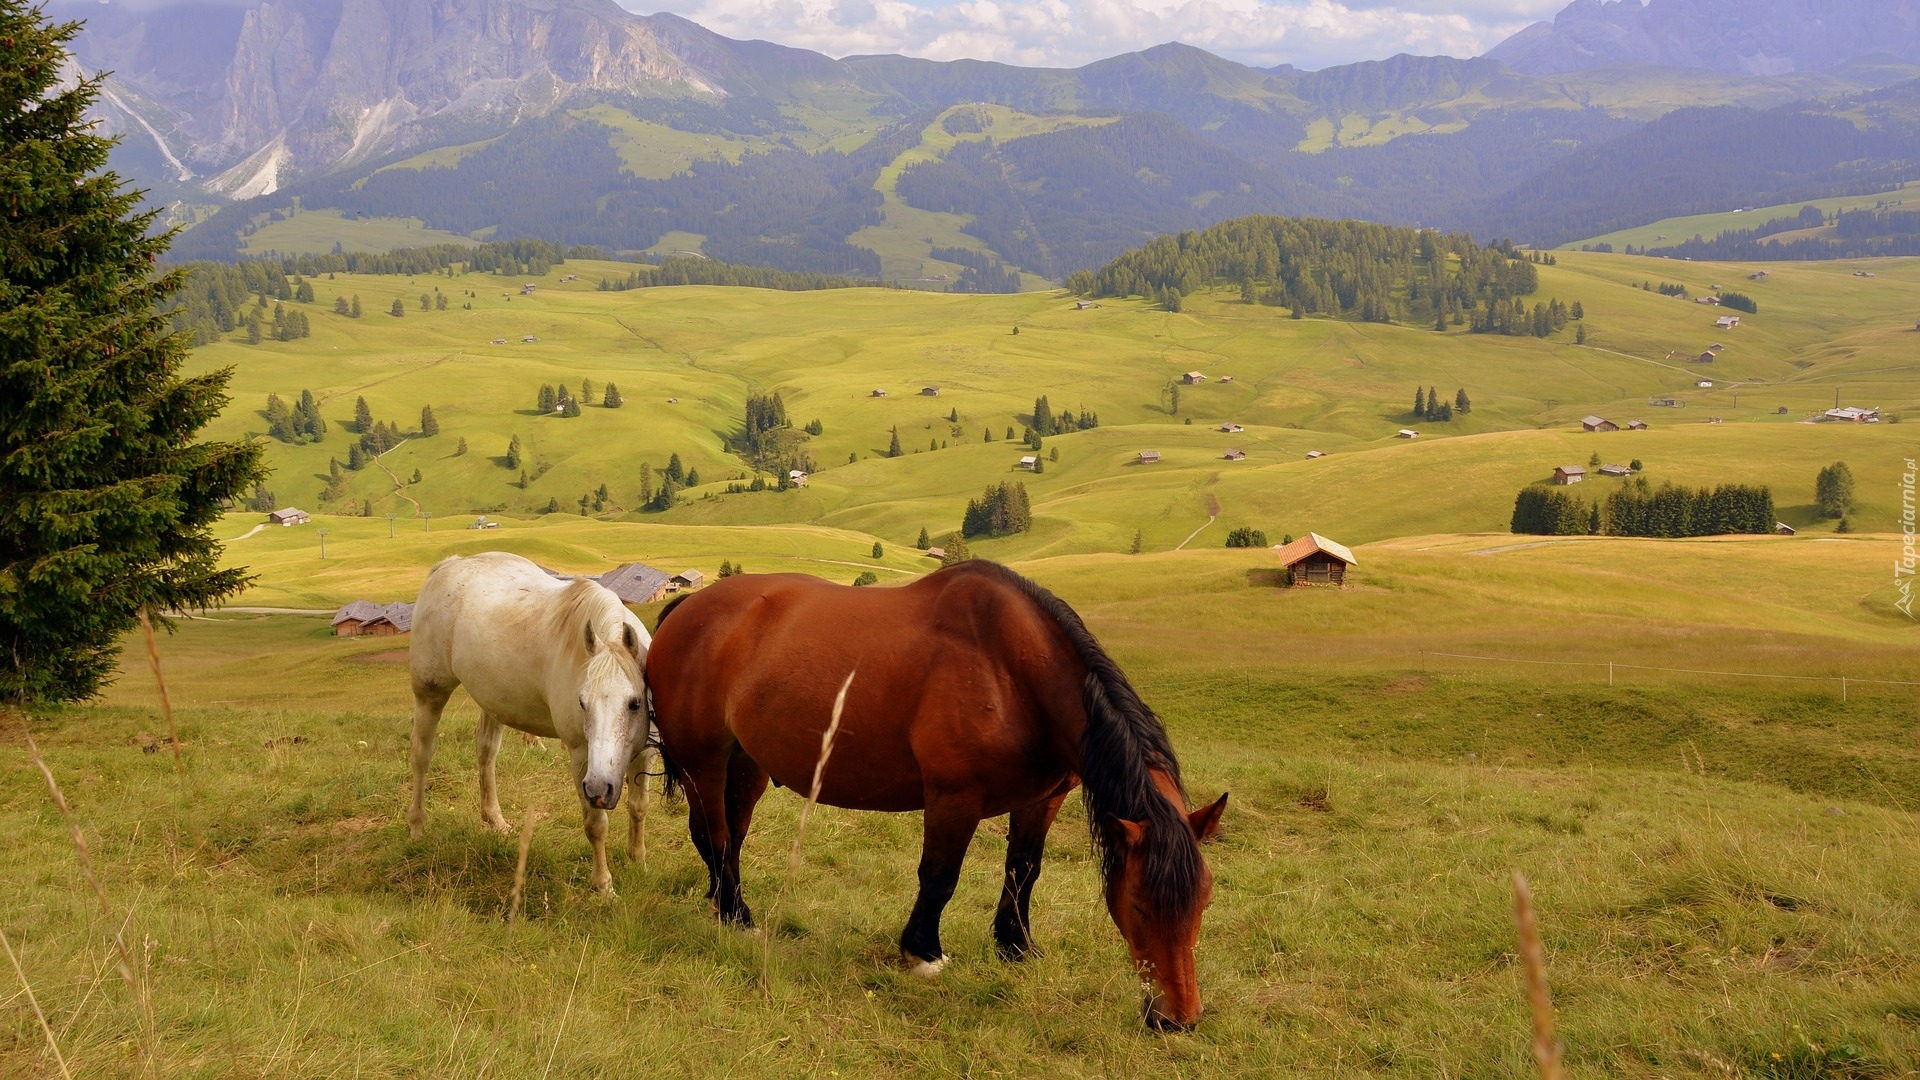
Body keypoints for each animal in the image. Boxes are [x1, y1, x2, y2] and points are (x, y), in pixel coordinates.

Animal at [408, 549, 656, 887]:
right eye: (582, 703)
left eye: (634, 703)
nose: (600, 788)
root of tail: (448, 565)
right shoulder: (581, 758)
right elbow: (596, 825)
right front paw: (603, 883)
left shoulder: (644, 753)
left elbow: (638, 807)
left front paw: (639, 861)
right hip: (429, 695)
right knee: (422, 755)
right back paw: (417, 825)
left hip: (493, 701)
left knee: (486, 752)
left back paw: (495, 820)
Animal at [637, 557, 1221, 1022]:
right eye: (1140, 906)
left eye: (1204, 901)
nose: (1177, 1017)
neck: (1012, 671)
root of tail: (687, 608)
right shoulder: (953, 799)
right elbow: (939, 879)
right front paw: (923, 953)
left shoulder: (1043, 799)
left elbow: (1023, 871)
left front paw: (1016, 946)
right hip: (705, 765)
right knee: (712, 836)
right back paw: (738, 916)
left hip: (747, 765)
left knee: (731, 838)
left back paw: (722, 904)